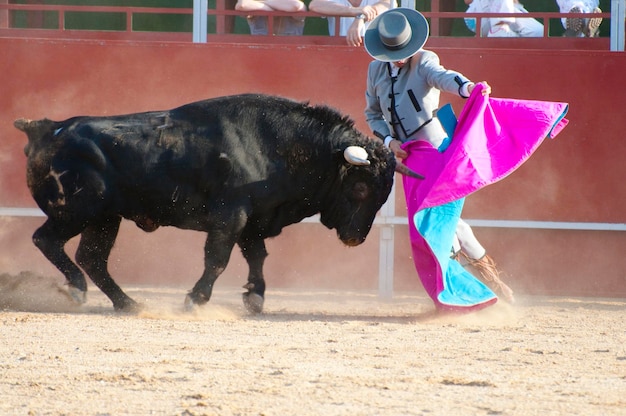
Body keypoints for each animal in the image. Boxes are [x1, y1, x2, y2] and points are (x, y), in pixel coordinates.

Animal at [14, 93, 416, 312]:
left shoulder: (254, 219)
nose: (355, 238)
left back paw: (128, 303)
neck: (279, 145)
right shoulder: (231, 216)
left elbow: (256, 256)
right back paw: (77, 289)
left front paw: (255, 297)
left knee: (93, 258)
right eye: (360, 188)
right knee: (46, 240)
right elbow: (218, 259)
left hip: (105, 218)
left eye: (384, 193)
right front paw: (195, 299)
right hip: (76, 210)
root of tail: (47, 128)